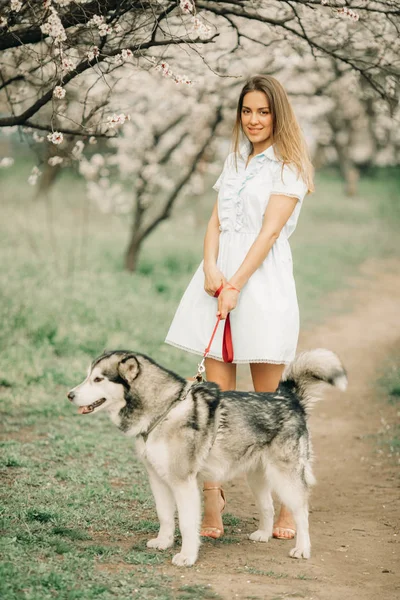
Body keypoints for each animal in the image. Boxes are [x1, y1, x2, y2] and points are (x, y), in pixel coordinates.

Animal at [68, 346, 346, 568]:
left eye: (98, 379)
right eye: (88, 376)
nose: (70, 394)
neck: (164, 410)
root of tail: (287, 397)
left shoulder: (183, 483)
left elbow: (187, 524)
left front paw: (187, 556)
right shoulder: (157, 479)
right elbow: (165, 515)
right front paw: (164, 541)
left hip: (285, 477)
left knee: (302, 512)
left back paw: (302, 548)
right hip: (256, 477)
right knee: (267, 505)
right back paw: (264, 534)